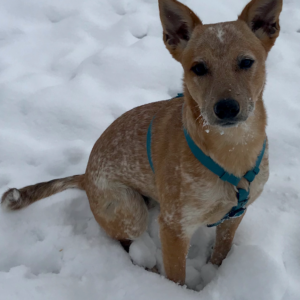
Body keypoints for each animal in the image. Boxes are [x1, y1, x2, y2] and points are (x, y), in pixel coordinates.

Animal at [1, 0, 282, 286]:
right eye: (198, 68)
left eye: (246, 62)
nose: (226, 108)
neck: (232, 149)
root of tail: (86, 177)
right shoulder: (174, 227)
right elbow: (176, 278)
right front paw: (174, 290)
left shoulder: (235, 215)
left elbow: (221, 251)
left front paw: (215, 272)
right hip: (129, 209)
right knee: (126, 242)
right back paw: (147, 270)